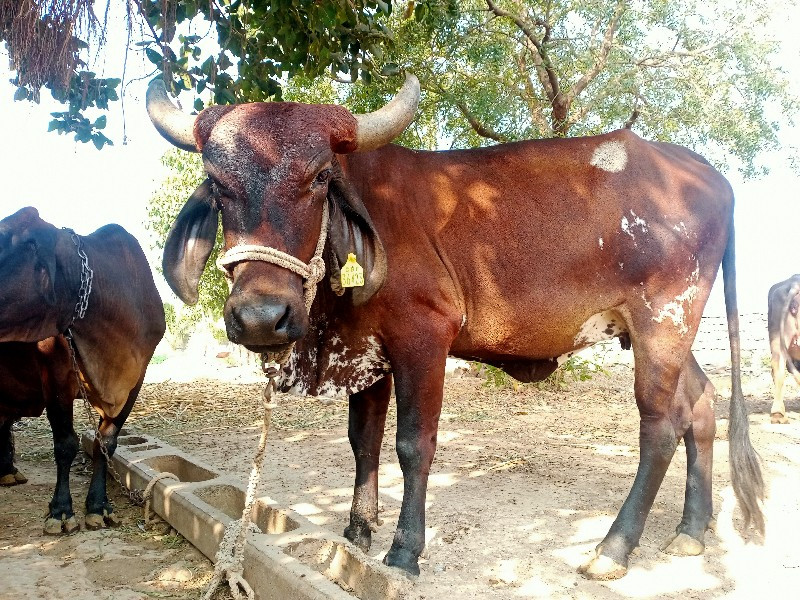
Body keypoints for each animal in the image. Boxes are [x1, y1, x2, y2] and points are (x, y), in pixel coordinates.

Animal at [0, 210, 165, 536]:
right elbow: (65, 444)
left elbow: (106, 443)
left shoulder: (134, 383)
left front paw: (99, 507)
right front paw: (61, 511)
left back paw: (8, 471)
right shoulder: (55, 378)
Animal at [144, 75, 764, 580]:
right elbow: (363, 442)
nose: (260, 317)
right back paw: (690, 531)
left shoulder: (423, 338)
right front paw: (356, 532)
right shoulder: (369, 353)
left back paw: (613, 548)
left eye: (320, 177)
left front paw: (404, 550)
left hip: (663, 321)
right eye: (217, 182)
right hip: (665, 333)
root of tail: (711, 177)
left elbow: (413, 444)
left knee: (659, 426)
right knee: (700, 406)